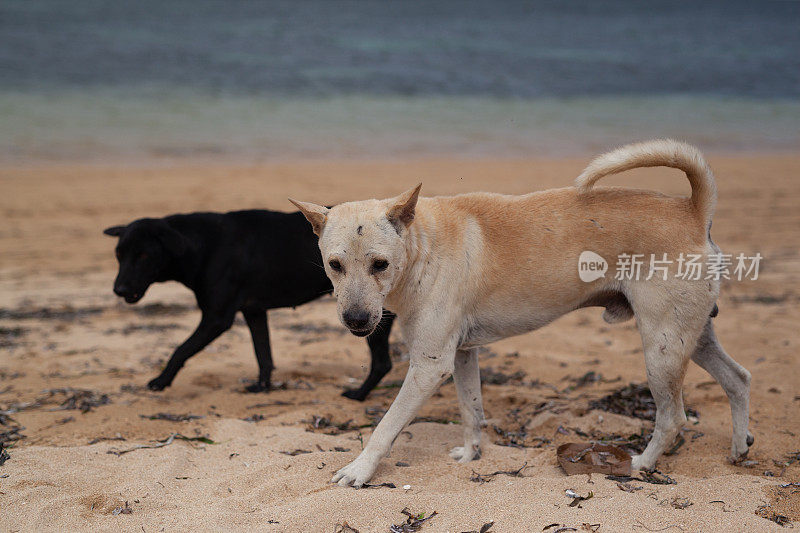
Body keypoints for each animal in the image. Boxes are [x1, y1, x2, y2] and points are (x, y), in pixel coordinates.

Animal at [104, 209, 396, 400]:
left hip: (370, 320)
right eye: (118, 254)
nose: (119, 290)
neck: (202, 245)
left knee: (382, 363)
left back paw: (359, 395)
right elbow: (263, 354)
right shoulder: (254, 312)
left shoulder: (217, 319)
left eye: (143, 255)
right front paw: (262, 387)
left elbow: (181, 349)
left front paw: (161, 380)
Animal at [292, 138, 752, 486]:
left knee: (673, 417)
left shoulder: (429, 364)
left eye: (380, 264)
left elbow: (386, 427)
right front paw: (472, 454)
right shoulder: (461, 355)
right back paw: (738, 448)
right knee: (738, 379)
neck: (423, 244)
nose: (355, 320)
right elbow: (471, 409)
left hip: (662, 349)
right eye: (334, 265)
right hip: (691, 337)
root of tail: (693, 212)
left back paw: (640, 464)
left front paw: (360, 470)